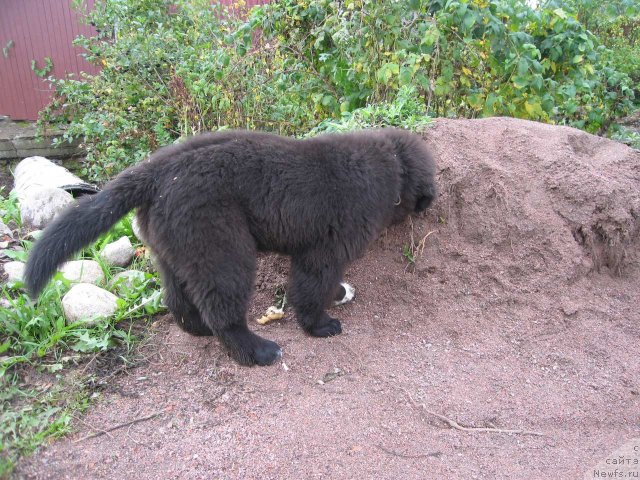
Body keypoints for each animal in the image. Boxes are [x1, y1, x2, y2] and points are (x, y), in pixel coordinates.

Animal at [25, 129, 436, 366]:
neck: (392, 162)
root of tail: (157, 171)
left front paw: (340, 293)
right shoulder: (327, 247)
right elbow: (311, 285)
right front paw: (320, 324)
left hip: (176, 247)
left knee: (179, 299)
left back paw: (200, 330)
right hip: (220, 246)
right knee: (223, 307)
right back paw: (258, 351)